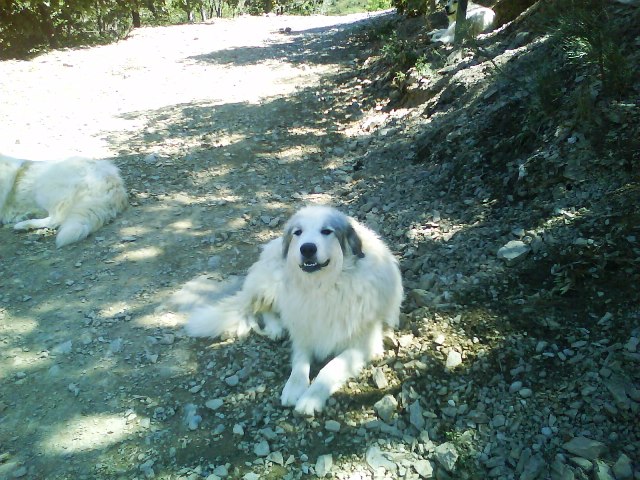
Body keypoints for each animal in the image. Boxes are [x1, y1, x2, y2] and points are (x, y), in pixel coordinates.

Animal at [186, 204, 404, 414]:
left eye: (327, 231)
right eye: (298, 232)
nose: (307, 248)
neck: (324, 286)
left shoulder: (365, 345)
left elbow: (330, 367)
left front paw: (311, 399)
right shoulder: (304, 330)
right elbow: (299, 364)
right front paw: (293, 388)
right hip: (275, 284)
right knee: (265, 308)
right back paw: (276, 329)